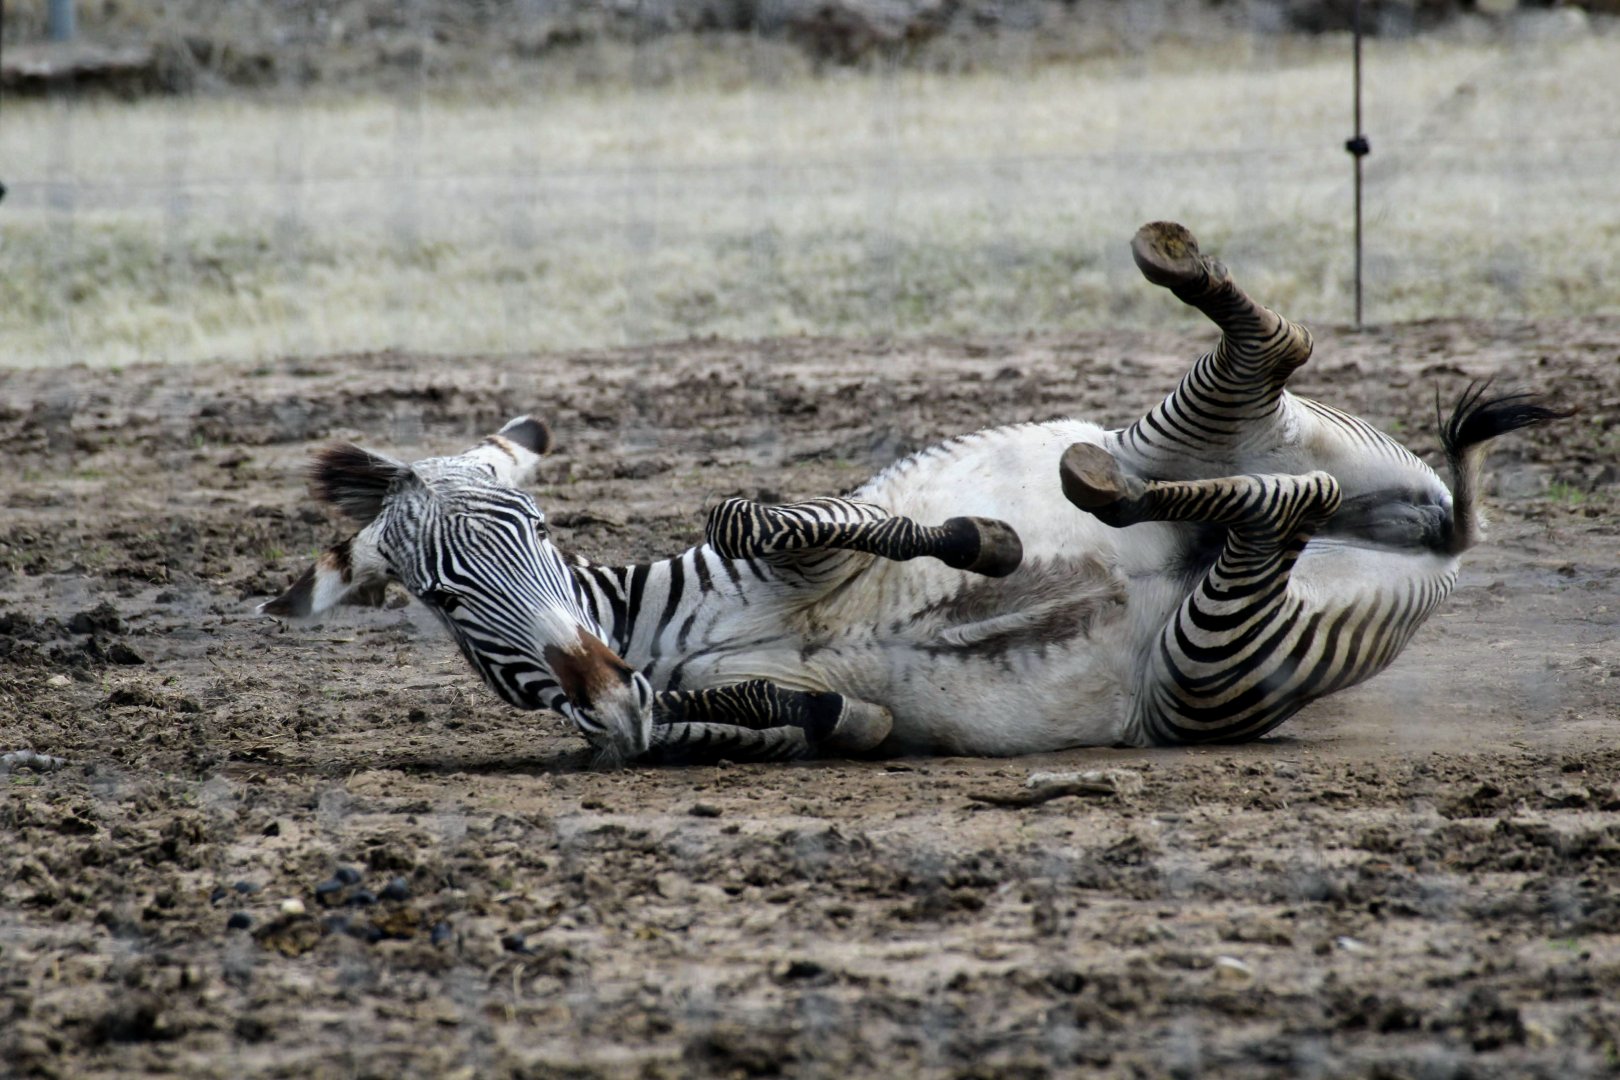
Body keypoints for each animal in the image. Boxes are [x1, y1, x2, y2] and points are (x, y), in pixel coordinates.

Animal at [260, 222, 1566, 764]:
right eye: (438, 593)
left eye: (529, 528)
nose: (591, 677)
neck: (655, 638)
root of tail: (1436, 544)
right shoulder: (668, 719)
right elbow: (798, 716)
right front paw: (839, 710)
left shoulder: (793, 542)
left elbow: (761, 510)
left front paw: (979, 544)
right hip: (1212, 660)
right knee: (1276, 502)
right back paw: (1138, 495)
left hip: (1201, 438)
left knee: (1276, 358)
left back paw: (1179, 278)